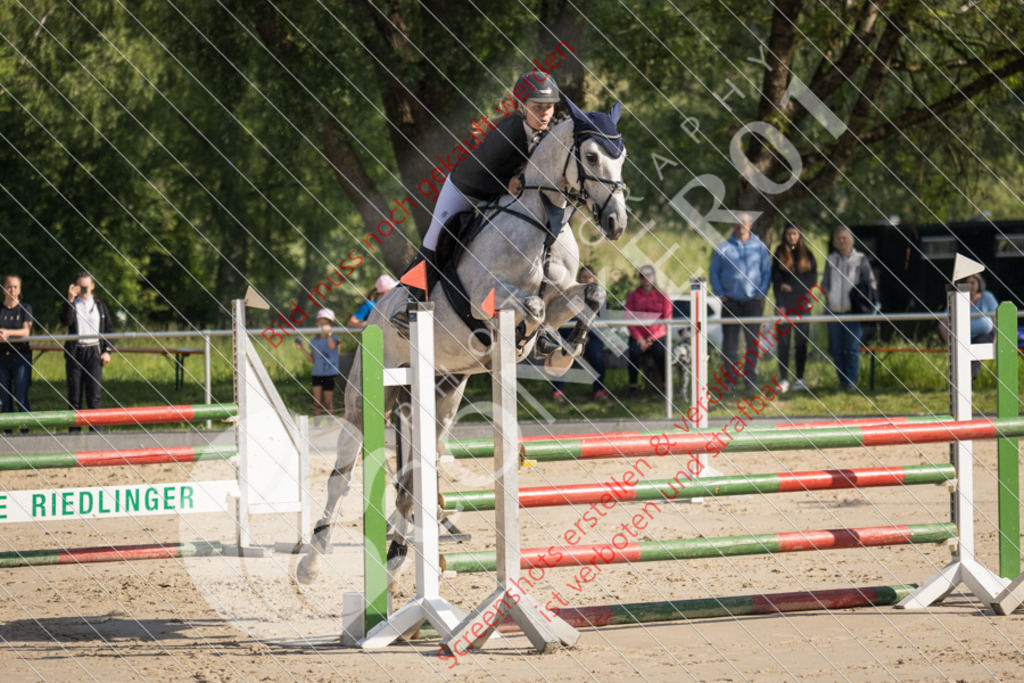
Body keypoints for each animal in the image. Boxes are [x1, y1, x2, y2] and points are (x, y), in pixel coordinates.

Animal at [296, 100, 626, 589]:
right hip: (367, 397)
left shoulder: (563, 294)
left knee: (414, 475)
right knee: (343, 472)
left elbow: (591, 295)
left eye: (621, 158)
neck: (542, 222)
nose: (616, 223)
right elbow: (533, 305)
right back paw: (311, 562)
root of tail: (374, 314)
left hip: (442, 397)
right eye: (590, 156)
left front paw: (558, 355)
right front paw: (540, 347)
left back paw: (396, 558)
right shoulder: (489, 298)